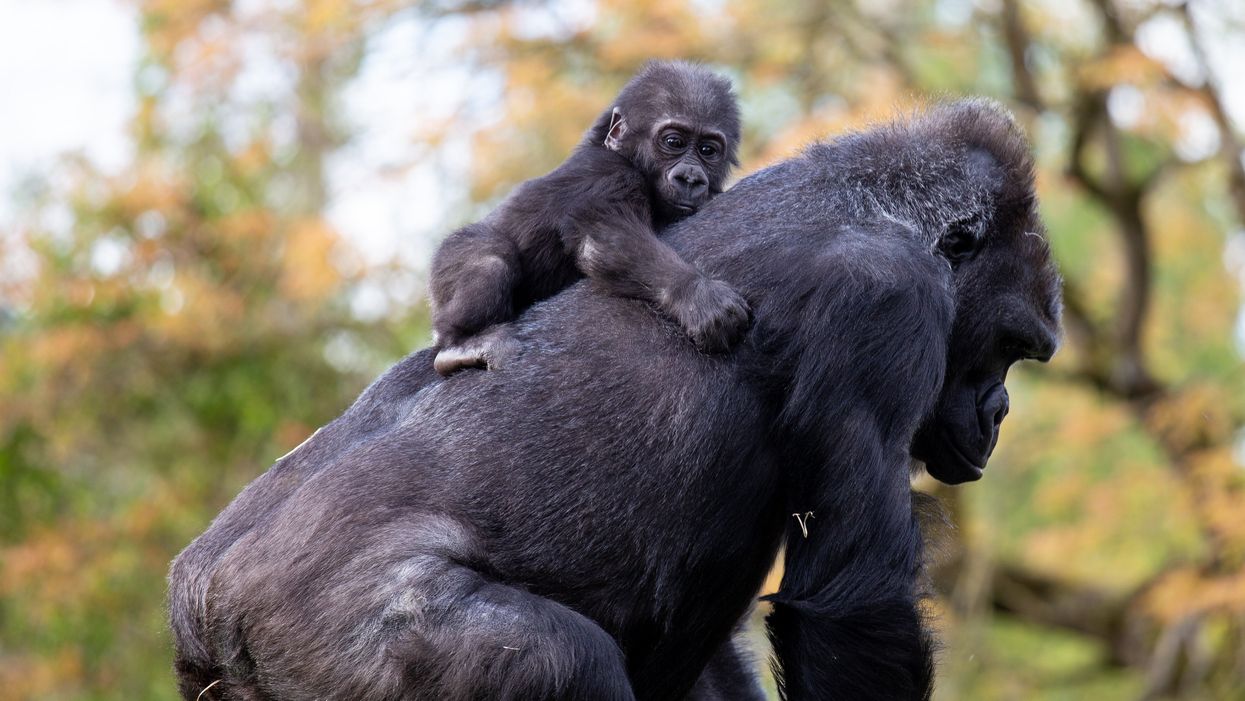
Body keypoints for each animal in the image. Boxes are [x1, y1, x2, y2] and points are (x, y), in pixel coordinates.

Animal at [428, 60, 751, 375]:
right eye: (673, 142)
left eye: (708, 150)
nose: (690, 178)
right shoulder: (610, 175)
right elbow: (606, 239)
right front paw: (697, 295)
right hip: (448, 260)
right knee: (489, 258)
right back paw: (462, 343)